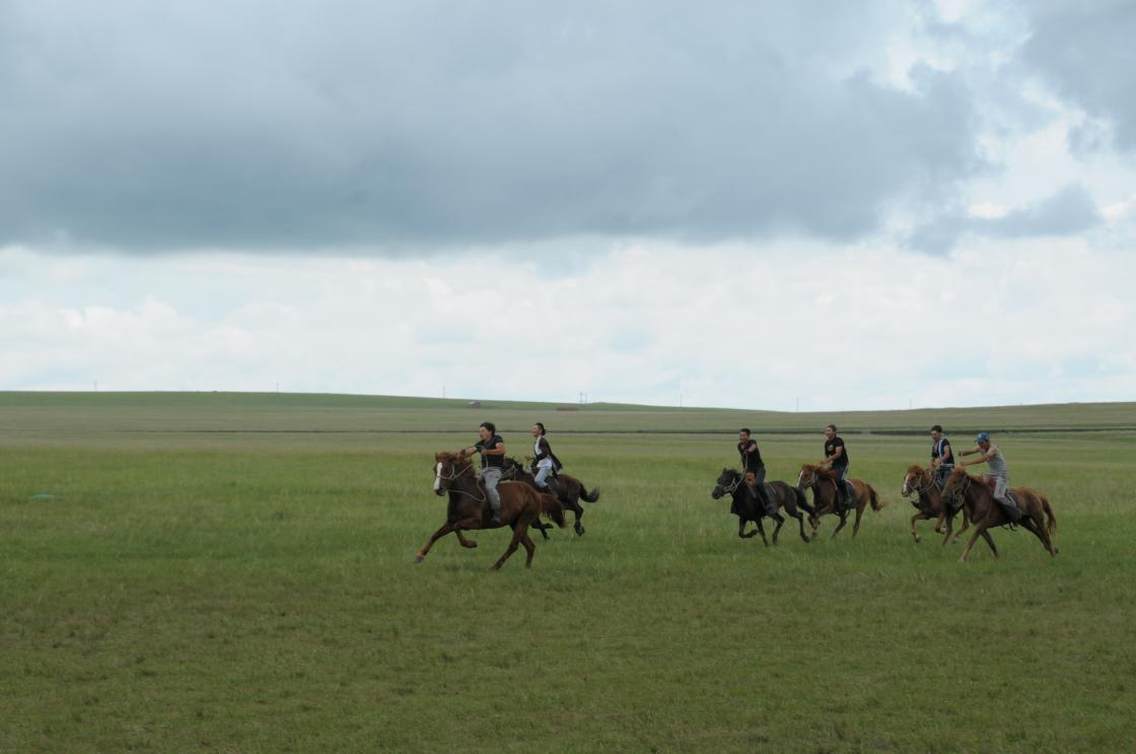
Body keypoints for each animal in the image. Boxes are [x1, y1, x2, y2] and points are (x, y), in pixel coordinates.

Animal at [418, 449, 563, 567]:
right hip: (515, 523)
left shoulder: (474, 522)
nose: (438, 489)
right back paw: (526, 567)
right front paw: (420, 555)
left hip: (523, 520)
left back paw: (495, 566)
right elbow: (436, 534)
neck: (464, 495)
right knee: (530, 546)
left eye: (447, 469)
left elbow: (456, 527)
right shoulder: (450, 521)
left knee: (514, 545)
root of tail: (536, 494)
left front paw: (471, 544)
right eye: (434, 469)